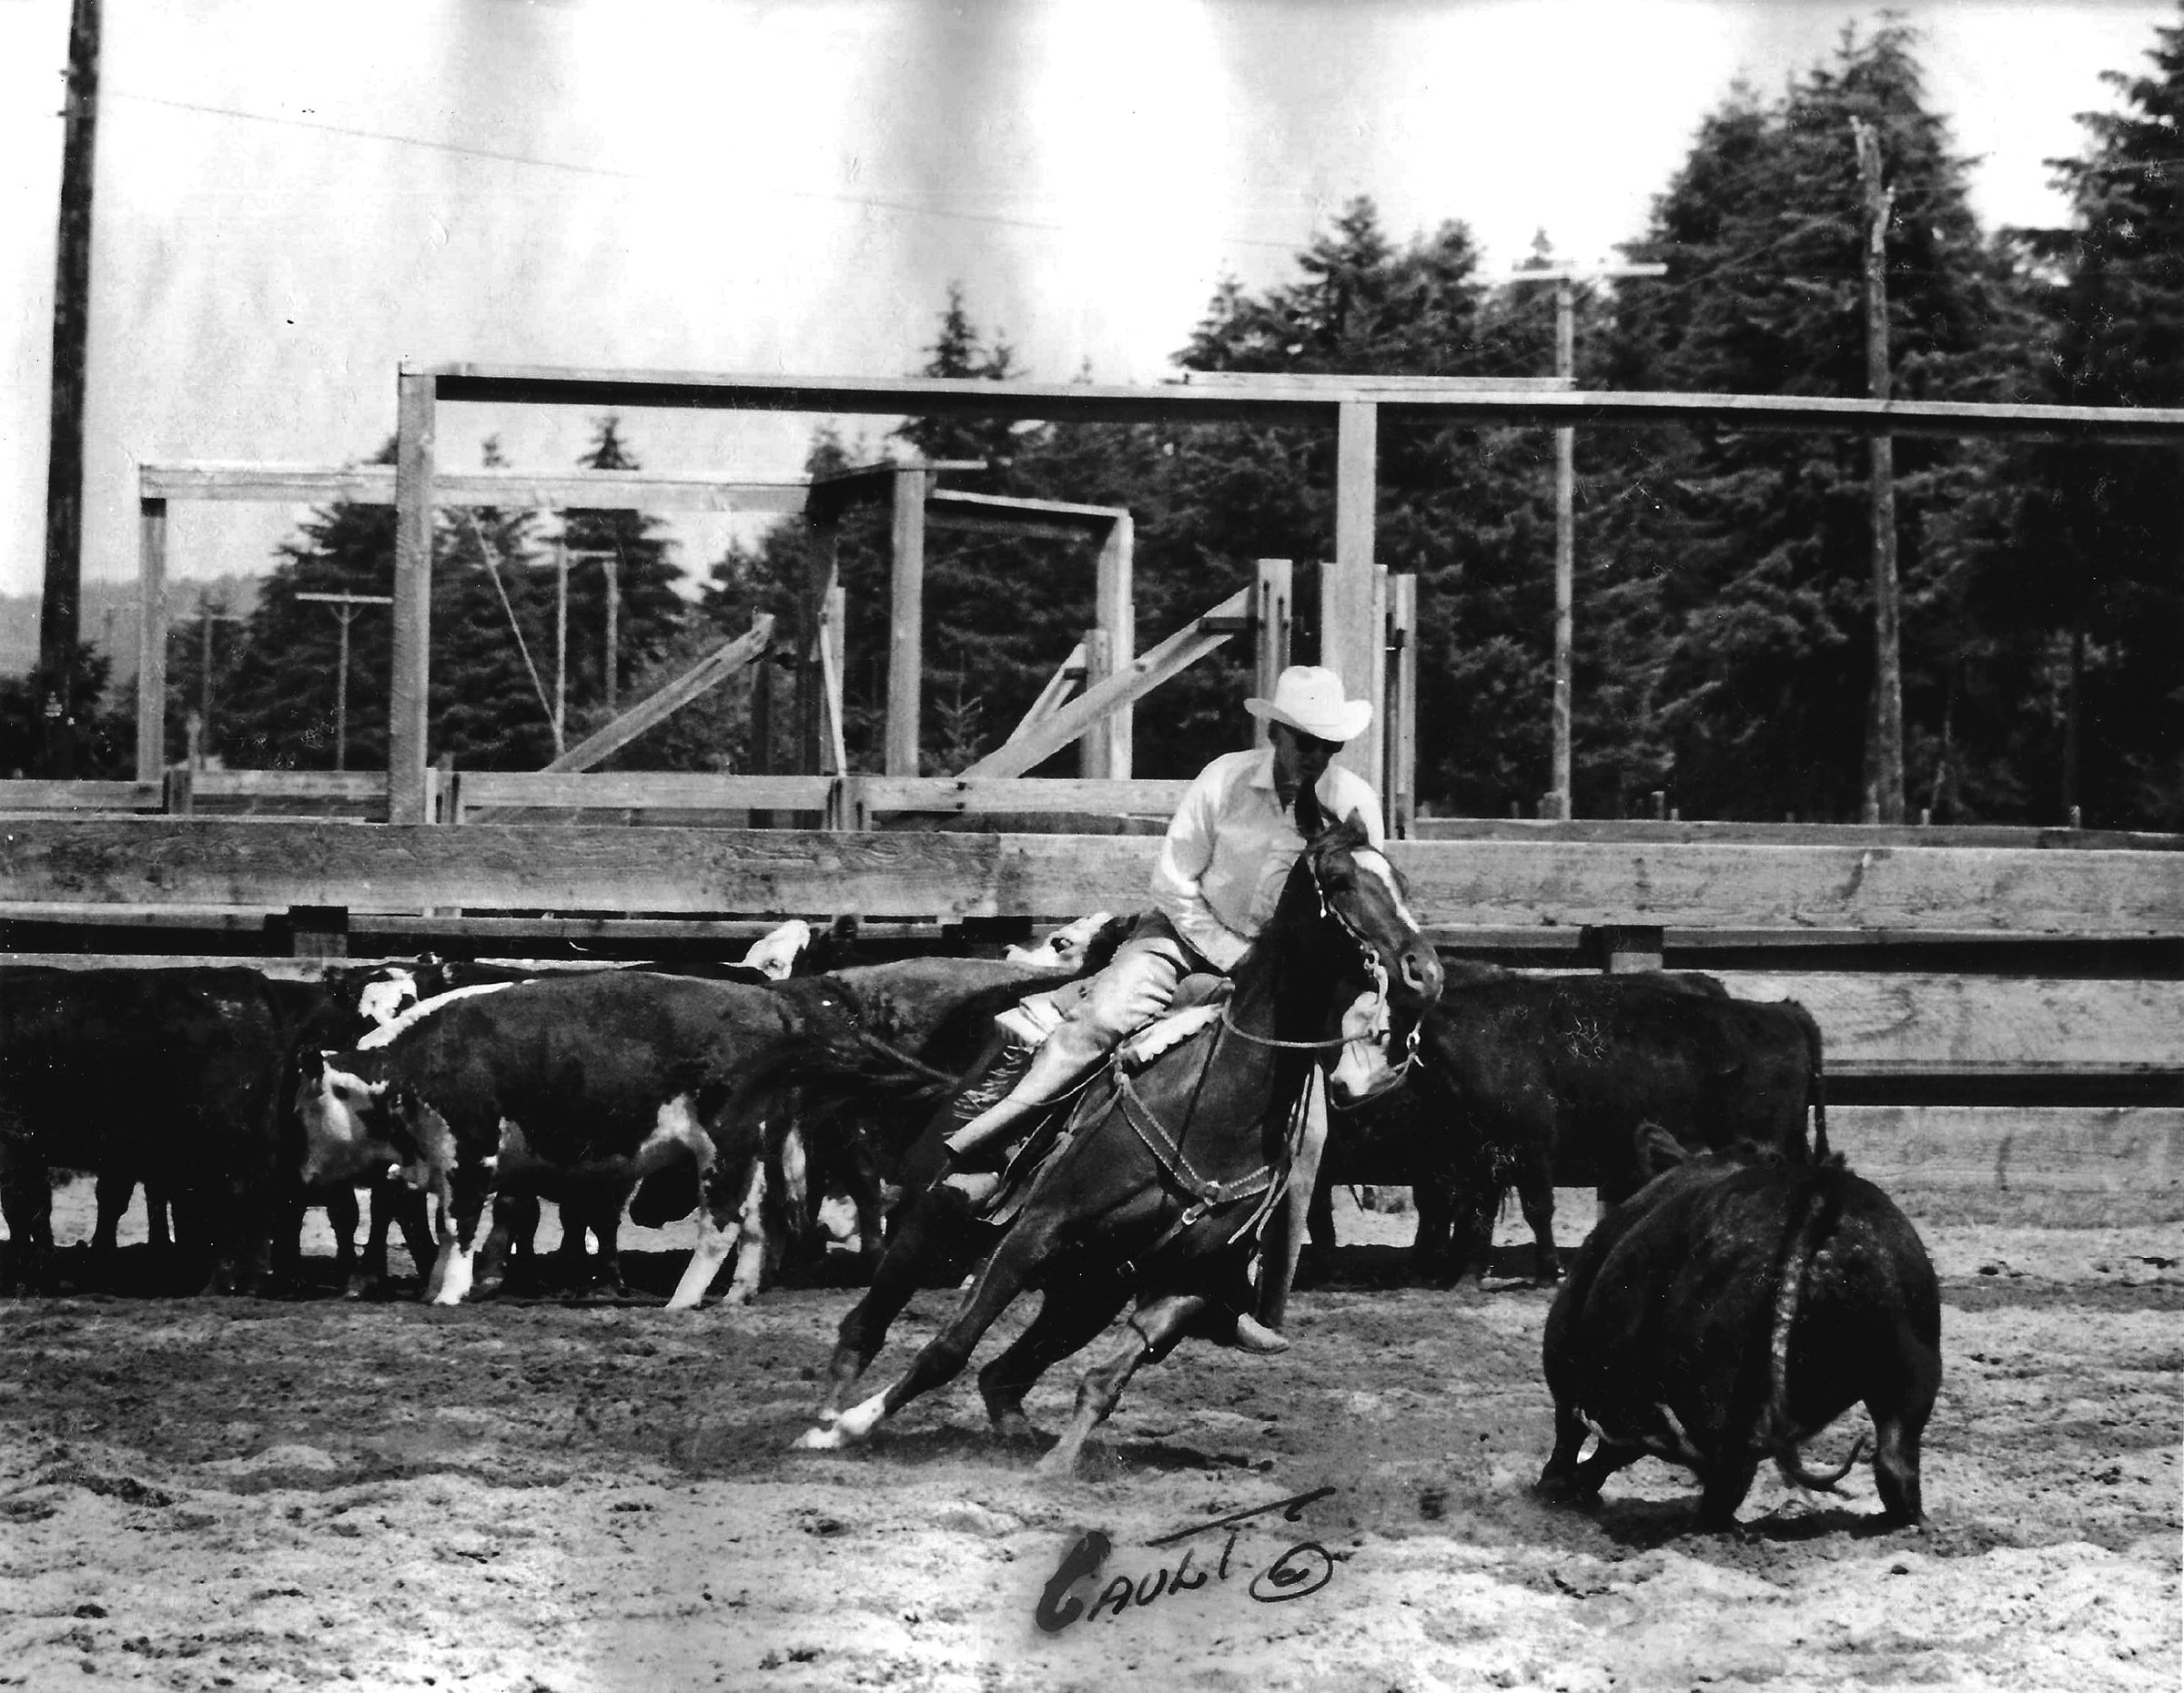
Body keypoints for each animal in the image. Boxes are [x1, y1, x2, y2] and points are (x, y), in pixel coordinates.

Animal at [794, 799, 1441, 1476]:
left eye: (1400, 882)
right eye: (1340, 880)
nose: (1424, 973)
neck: (1216, 1106)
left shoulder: (1187, 1284)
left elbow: (1104, 1381)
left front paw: (1055, 1469)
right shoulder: (1038, 1229)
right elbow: (948, 1347)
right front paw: (851, 1426)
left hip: (1085, 1294)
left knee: (1005, 1372)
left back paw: (1012, 1432)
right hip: (938, 1222)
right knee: (867, 1323)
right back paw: (825, 1420)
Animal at [1310, 965, 1825, 1284]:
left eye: (1380, 1033)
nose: (1337, 1084)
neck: (1486, 1041)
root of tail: (1780, 1010)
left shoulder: (1531, 1146)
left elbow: (1537, 1209)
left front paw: (1548, 1270)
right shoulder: (1483, 1151)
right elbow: (1476, 1213)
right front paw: (1467, 1273)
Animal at [1537, 1127, 1947, 1537]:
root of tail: (1819, 1194)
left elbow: (1575, 1430)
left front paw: (1557, 1485)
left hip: (1714, 1379)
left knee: (1729, 1467)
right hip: (1913, 1366)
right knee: (1895, 1457)